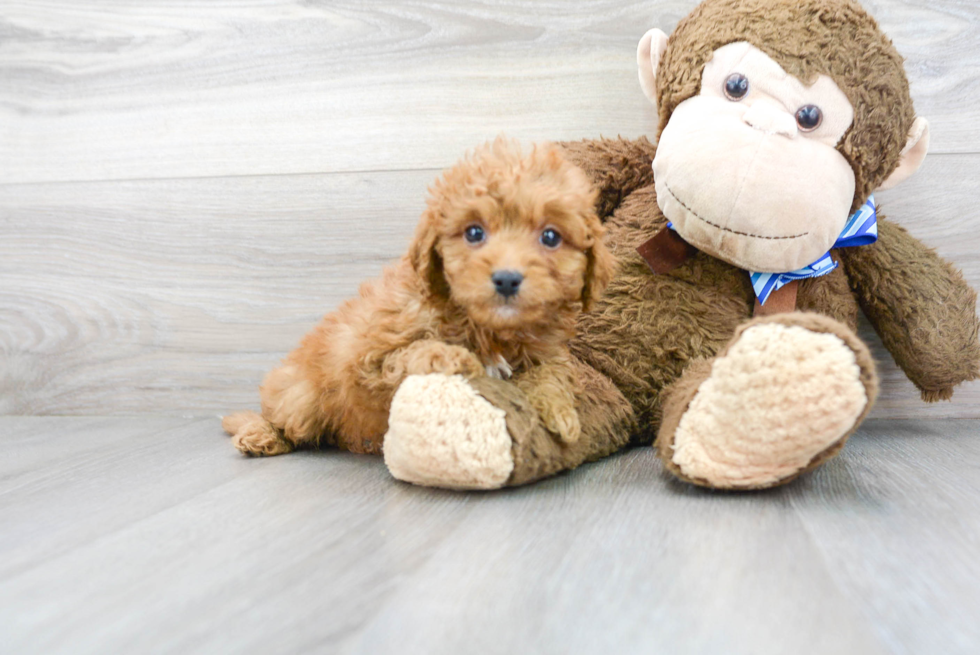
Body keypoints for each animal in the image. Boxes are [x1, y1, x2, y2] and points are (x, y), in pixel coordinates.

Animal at [226, 138, 616, 456]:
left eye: (550, 237)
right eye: (474, 232)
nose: (506, 279)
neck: (487, 328)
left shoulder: (543, 352)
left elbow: (551, 373)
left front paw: (562, 415)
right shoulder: (371, 356)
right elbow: (414, 352)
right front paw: (457, 358)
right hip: (299, 395)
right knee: (283, 418)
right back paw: (261, 434)